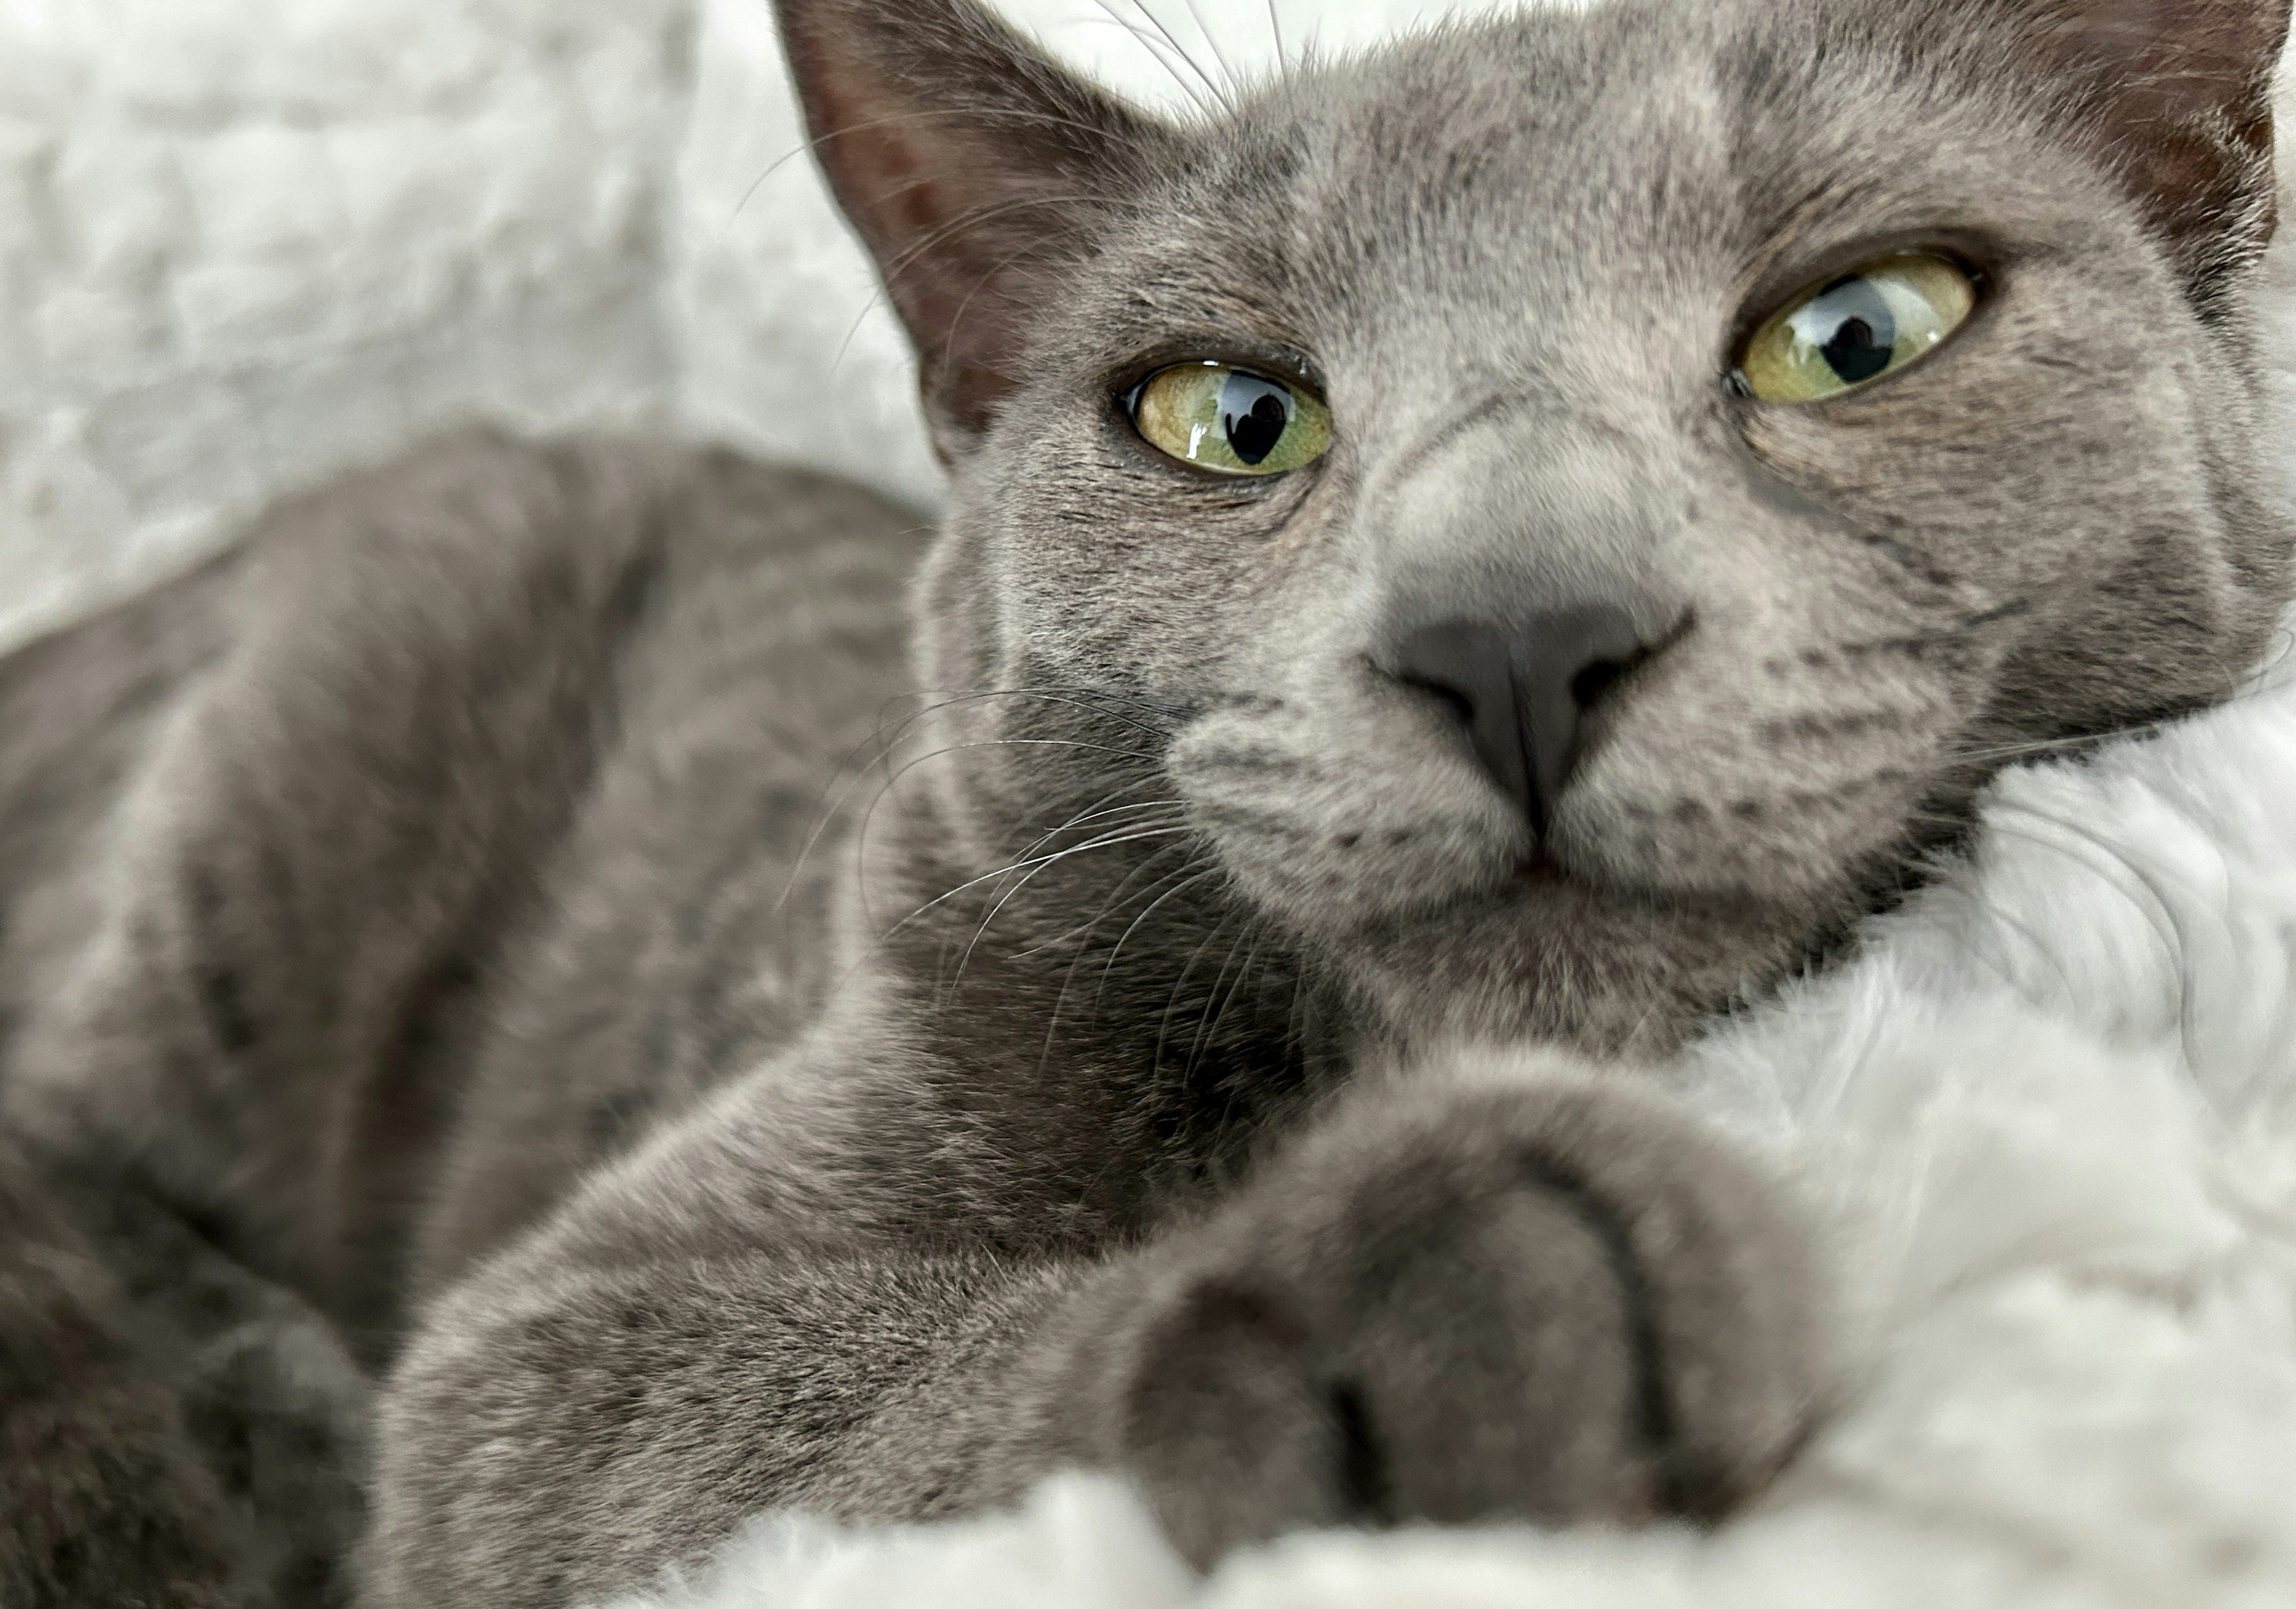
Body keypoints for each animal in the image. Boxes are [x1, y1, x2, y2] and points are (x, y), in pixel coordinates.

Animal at [0, 0, 2286, 1597]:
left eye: (1857, 331)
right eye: (1231, 416)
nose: (1513, 626)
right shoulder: (546, 1344)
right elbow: (855, 1391)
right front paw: (1444, 1262)